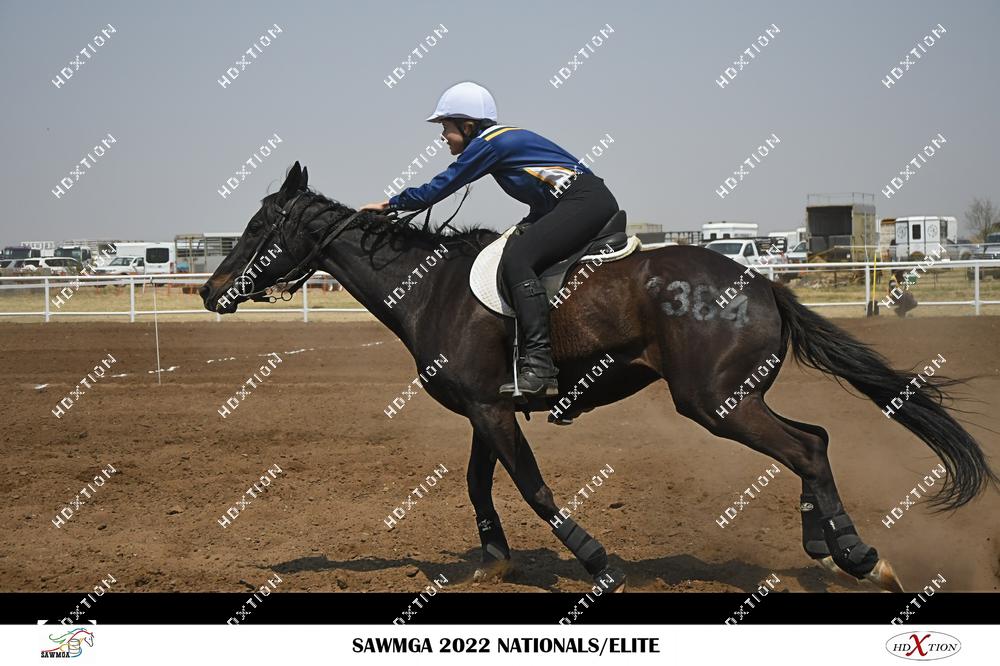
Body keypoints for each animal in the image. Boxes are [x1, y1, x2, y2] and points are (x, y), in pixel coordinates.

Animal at [200, 162, 996, 593]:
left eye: (256, 230)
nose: (209, 291)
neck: (432, 290)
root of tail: (761, 282)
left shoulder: (492, 413)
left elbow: (532, 487)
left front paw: (593, 558)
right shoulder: (486, 410)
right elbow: (479, 485)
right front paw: (494, 563)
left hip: (713, 402)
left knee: (805, 448)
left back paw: (863, 558)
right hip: (734, 398)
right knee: (817, 439)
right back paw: (826, 549)